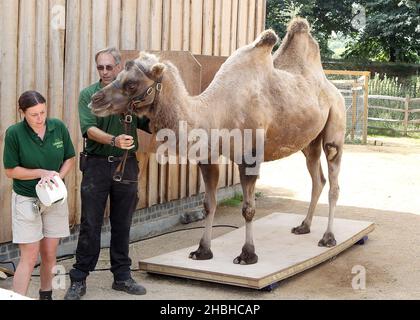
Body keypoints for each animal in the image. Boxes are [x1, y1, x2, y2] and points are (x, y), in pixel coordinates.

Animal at [91, 18, 344, 266]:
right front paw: (202, 251)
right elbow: (208, 204)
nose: (95, 100)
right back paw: (304, 226)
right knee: (318, 178)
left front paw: (247, 254)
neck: (217, 112)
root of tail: (333, 88)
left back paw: (328, 238)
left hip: (335, 127)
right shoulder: (208, 156)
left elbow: (248, 209)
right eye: (117, 76)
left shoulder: (249, 157)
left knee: (333, 182)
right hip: (309, 141)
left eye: (132, 84)